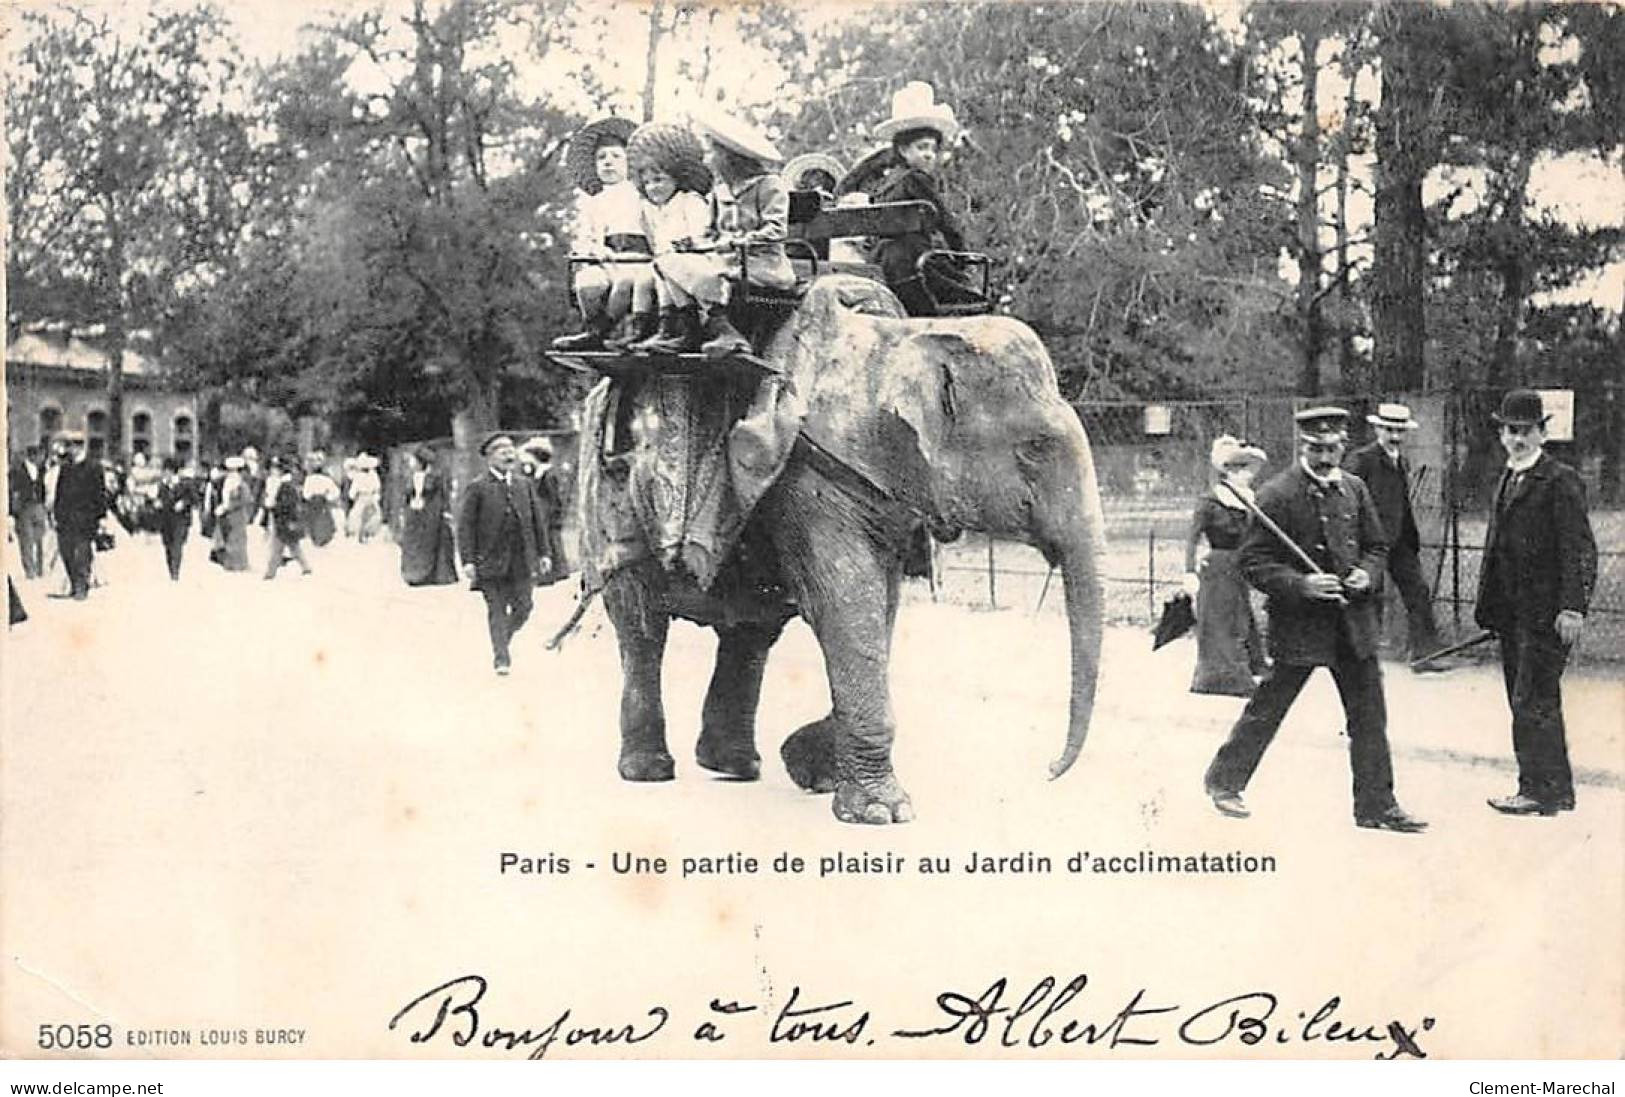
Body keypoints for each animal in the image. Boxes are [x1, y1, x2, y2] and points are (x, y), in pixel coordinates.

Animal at [578, 274, 1111, 825]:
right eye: (1035, 448)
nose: (1048, 769)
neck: (906, 340)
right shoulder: (812, 476)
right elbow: (847, 602)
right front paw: (881, 812)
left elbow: (878, 607)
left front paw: (812, 766)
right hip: (608, 513)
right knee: (641, 625)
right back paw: (649, 770)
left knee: (749, 633)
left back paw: (734, 766)